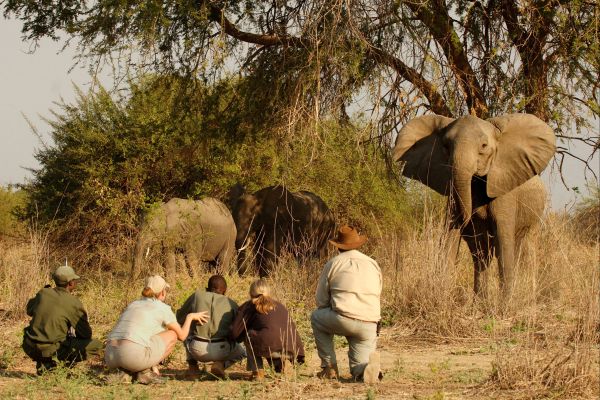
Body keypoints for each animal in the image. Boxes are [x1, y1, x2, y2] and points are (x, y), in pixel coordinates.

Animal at [392, 114, 556, 298]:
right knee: (481, 255)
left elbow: (504, 245)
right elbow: (450, 240)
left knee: (524, 251)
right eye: (446, 146)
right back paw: (480, 301)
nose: (467, 218)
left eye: (484, 146)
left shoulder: (504, 192)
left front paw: (505, 305)